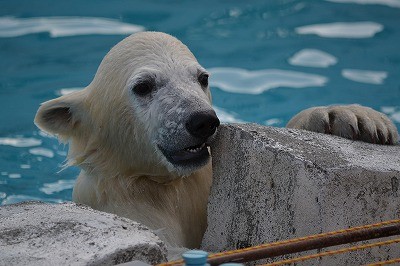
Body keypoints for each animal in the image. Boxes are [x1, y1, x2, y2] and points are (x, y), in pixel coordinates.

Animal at [34, 31, 396, 251]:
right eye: (143, 86)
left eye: (202, 77)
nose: (202, 120)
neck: (165, 183)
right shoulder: (124, 204)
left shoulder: (202, 182)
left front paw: (354, 120)